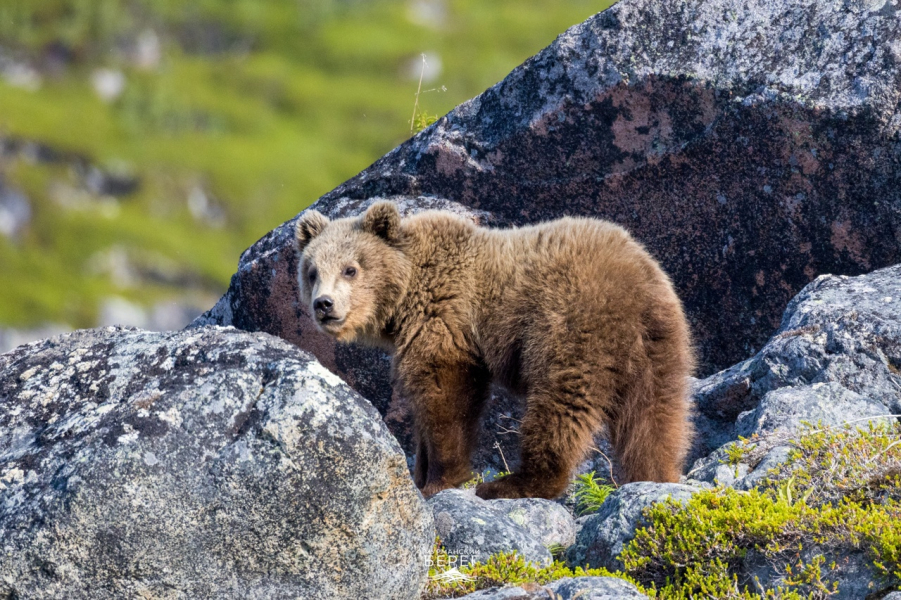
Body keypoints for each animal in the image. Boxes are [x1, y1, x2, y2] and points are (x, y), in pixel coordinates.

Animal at [295, 201, 694, 500]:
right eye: (312, 271)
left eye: (350, 269)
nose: (324, 305)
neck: (404, 298)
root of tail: (638, 279)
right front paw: (419, 473)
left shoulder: (446, 318)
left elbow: (447, 398)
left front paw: (440, 479)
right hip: (659, 345)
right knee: (655, 416)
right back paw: (656, 474)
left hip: (571, 326)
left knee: (559, 406)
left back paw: (511, 483)